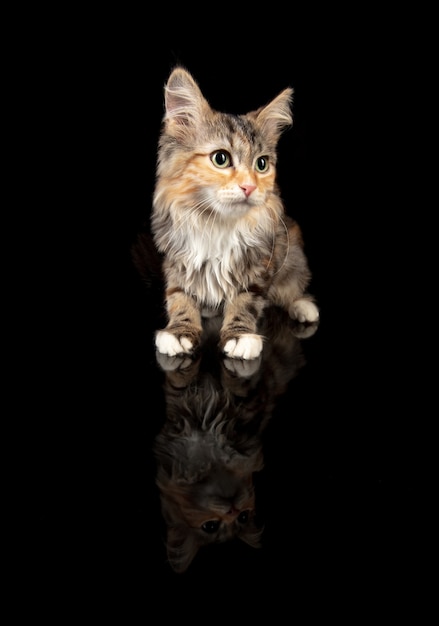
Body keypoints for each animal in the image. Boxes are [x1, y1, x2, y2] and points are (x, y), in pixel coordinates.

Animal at [151, 65, 320, 358]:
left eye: (261, 164)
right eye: (221, 158)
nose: (250, 187)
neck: (215, 221)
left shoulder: (260, 264)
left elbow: (246, 301)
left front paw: (240, 336)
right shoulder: (177, 258)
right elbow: (179, 296)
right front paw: (180, 331)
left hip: (294, 259)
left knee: (292, 289)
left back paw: (304, 307)